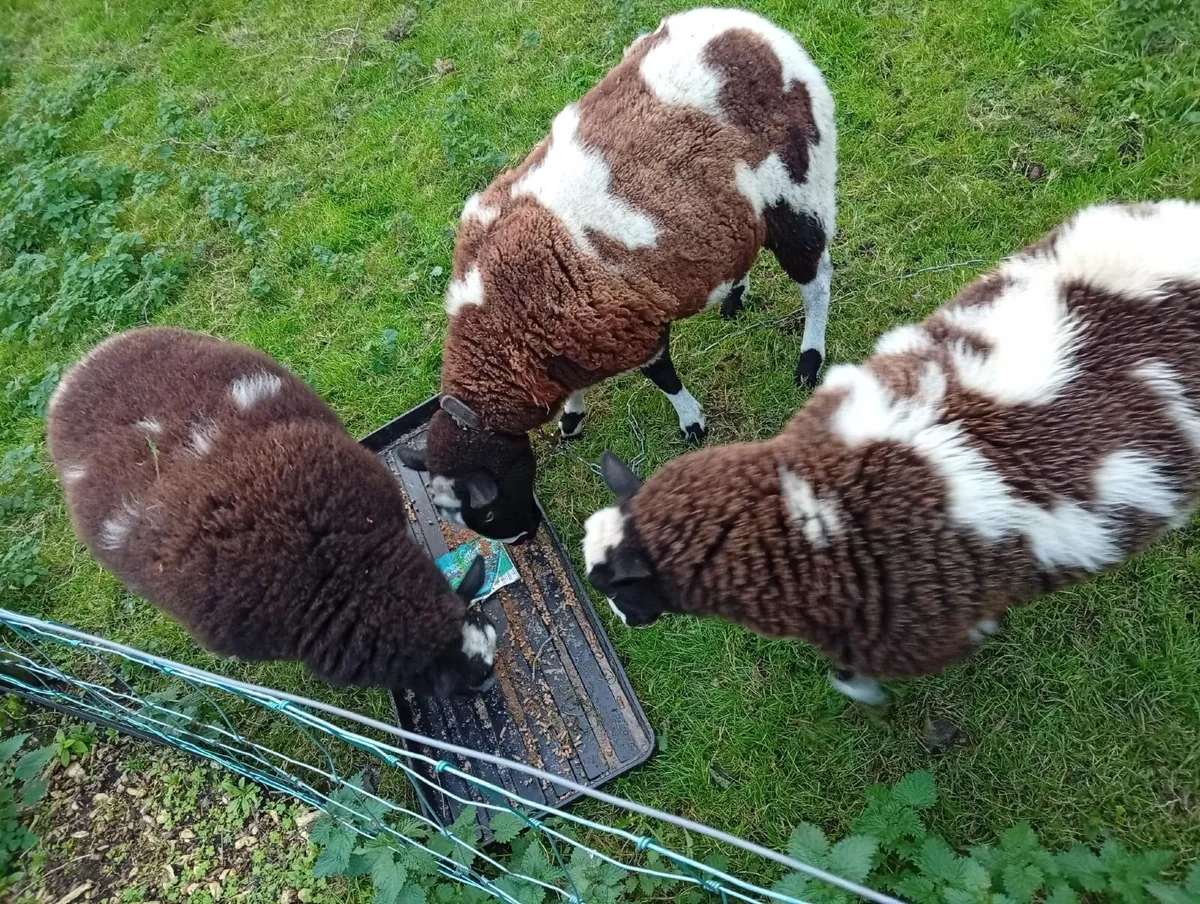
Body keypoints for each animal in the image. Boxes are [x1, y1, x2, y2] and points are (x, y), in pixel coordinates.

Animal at [400, 6, 837, 545]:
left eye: (485, 513)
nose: (524, 538)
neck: (502, 329)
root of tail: (758, 29)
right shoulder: (569, 344)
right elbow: (577, 385)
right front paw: (572, 419)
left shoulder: (627, 327)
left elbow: (662, 376)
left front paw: (692, 424)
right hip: (736, 213)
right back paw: (735, 297)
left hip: (800, 188)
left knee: (816, 279)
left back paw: (809, 360)